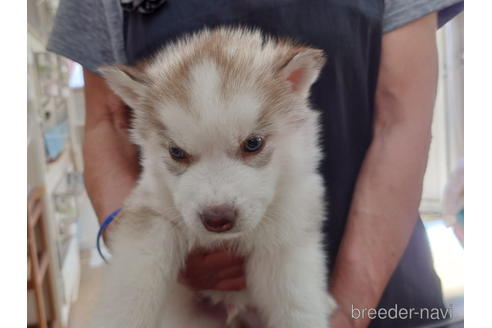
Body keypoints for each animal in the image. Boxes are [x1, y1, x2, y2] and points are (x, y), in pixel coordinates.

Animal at [94, 26, 336, 326]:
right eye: (177, 152)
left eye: (252, 143)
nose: (217, 218)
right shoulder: (151, 211)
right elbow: (131, 288)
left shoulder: (286, 237)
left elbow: (297, 306)